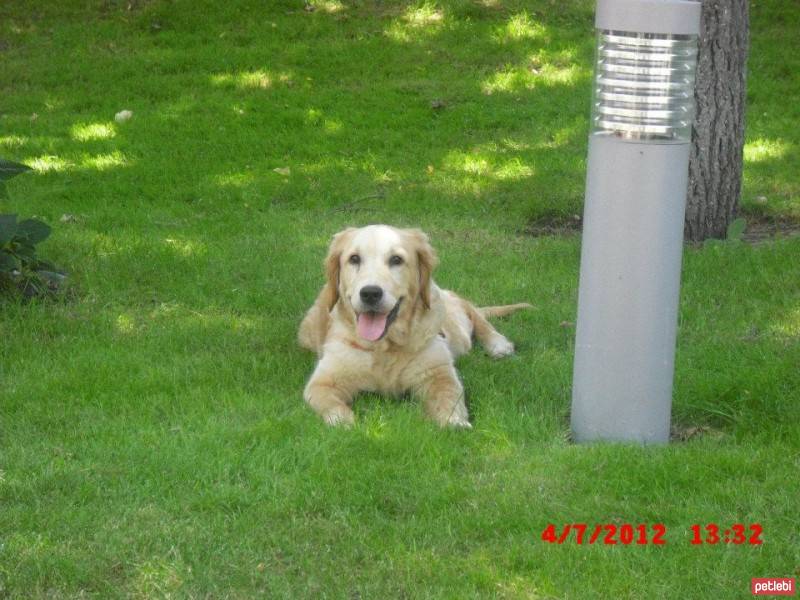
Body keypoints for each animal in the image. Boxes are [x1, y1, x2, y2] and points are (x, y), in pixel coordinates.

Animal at [300, 225, 532, 426]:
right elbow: (330, 403)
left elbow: (448, 396)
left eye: (396, 260)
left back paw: (498, 344)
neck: (385, 348)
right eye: (354, 259)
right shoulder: (323, 381)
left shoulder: (438, 372)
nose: (370, 293)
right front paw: (345, 422)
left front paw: (454, 422)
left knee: (473, 311)